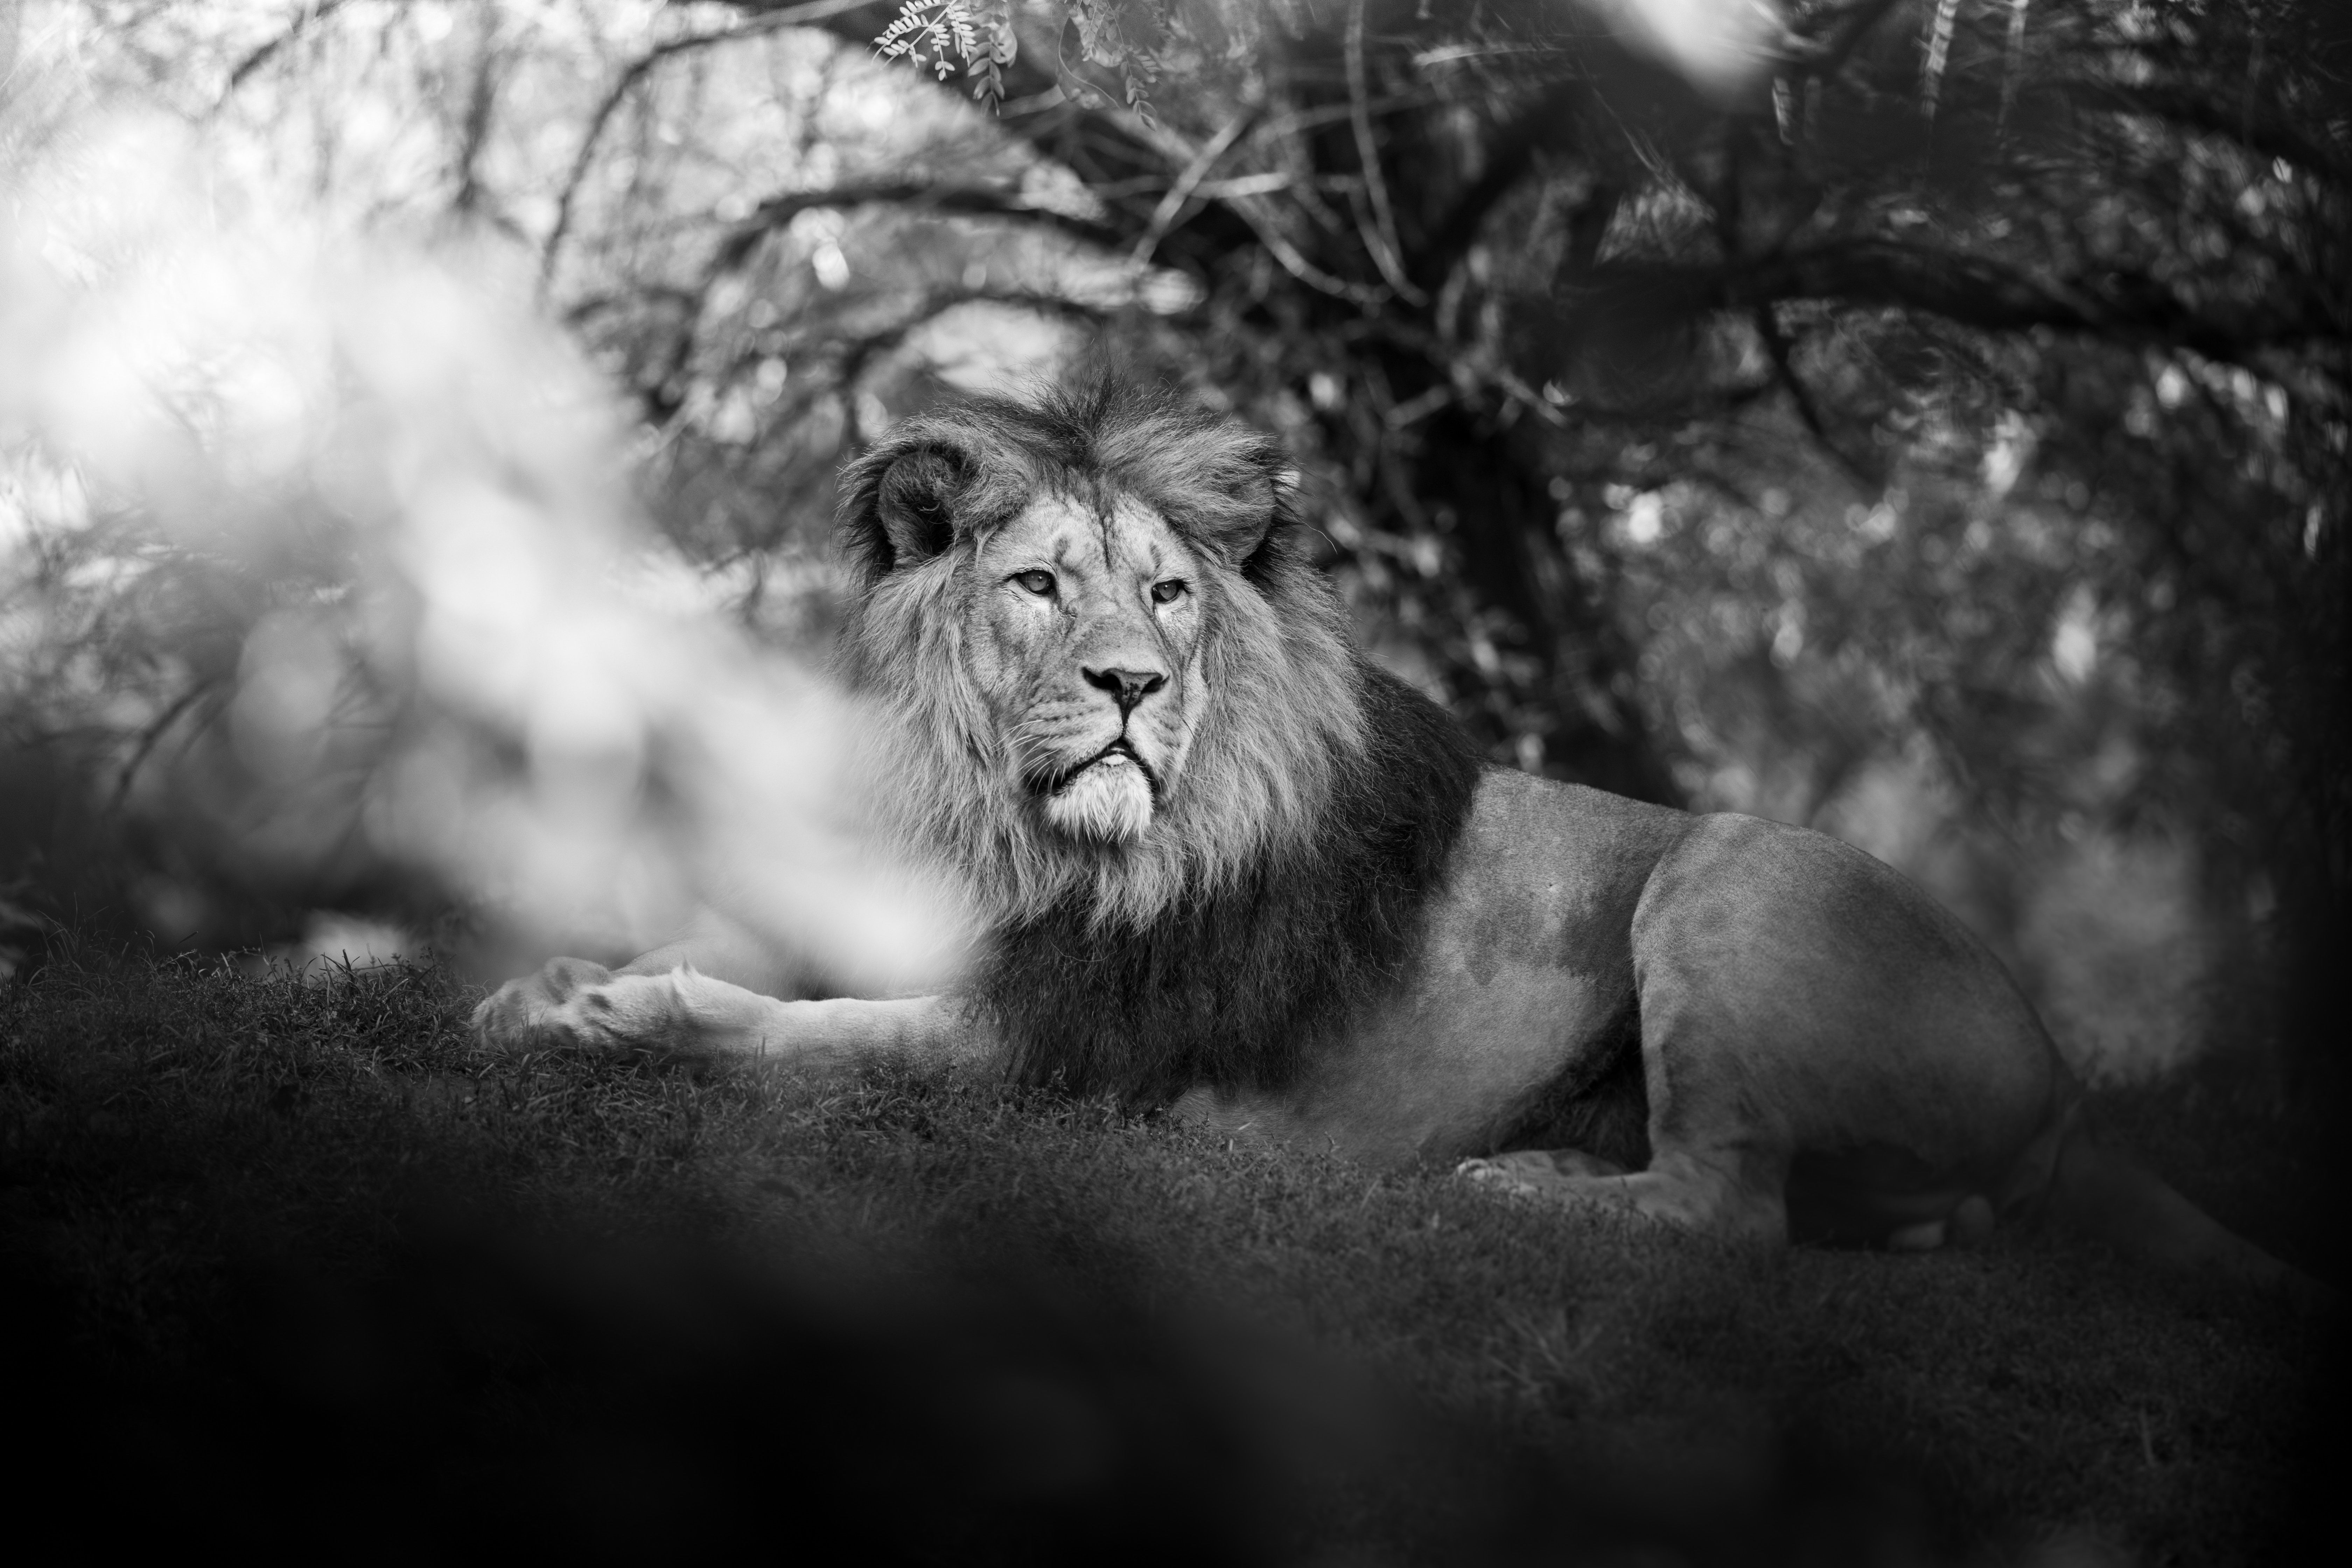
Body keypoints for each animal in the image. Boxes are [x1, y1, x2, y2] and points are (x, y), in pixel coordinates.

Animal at [474, 374, 2316, 1299]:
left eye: (1167, 594)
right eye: (1041, 586)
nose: (1136, 684)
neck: (1007, 823)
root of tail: (2066, 1081)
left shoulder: (1056, 1051)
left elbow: (812, 1035)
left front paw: (630, 1011)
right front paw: (542, 983)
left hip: (1738, 869)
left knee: (1729, 1214)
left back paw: (1518, 1193)